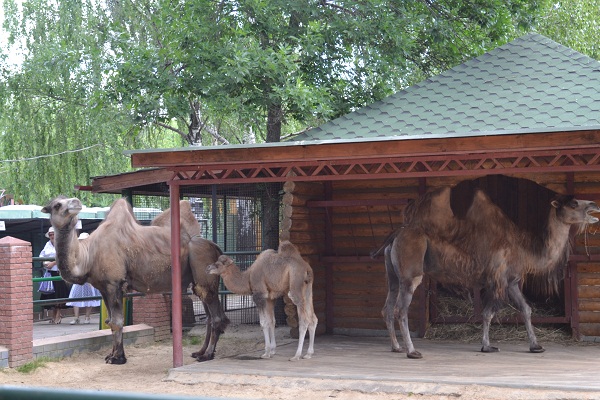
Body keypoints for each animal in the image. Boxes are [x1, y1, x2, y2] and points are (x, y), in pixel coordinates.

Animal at [41, 195, 230, 364]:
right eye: (57, 204)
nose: (76, 202)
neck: (89, 254)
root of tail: (215, 247)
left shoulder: (114, 284)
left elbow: (117, 322)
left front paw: (118, 358)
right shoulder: (103, 288)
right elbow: (110, 321)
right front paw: (112, 355)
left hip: (203, 271)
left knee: (215, 317)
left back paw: (207, 355)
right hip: (199, 282)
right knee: (210, 316)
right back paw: (200, 352)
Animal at [372, 176, 596, 360]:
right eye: (574, 203)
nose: (594, 204)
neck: (525, 251)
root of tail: (395, 235)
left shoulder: (512, 281)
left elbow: (526, 309)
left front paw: (536, 346)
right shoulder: (498, 279)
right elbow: (489, 313)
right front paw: (487, 346)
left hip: (393, 274)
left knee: (387, 307)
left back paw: (396, 347)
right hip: (411, 273)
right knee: (401, 309)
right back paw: (412, 351)